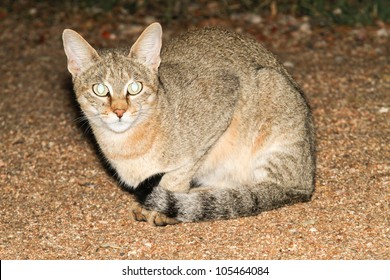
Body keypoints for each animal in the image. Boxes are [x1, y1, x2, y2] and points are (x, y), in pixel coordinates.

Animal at [62, 23, 316, 226]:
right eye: (99, 89)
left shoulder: (225, 100)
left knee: (260, 189)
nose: (119, 112)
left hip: (272, 94)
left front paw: (162, 204)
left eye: (135, 87)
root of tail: (307, 182)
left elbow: (178, 174)